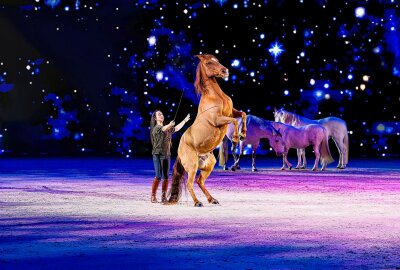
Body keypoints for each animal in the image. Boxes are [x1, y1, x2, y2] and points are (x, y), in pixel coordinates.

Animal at [166, 54, 247, 207]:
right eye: (209, 63)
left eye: (217, 60)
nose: (225, 71)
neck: (215, 96)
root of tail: (179, 150)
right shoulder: (218, 119)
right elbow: (233, 121)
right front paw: (235, 138)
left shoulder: (231, 112)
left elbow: (243, 114)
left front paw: (243, 134)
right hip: (192, 166)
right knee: (190, 183)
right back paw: (198, 202)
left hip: (208, 165)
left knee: (199, 181)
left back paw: (212, 199)